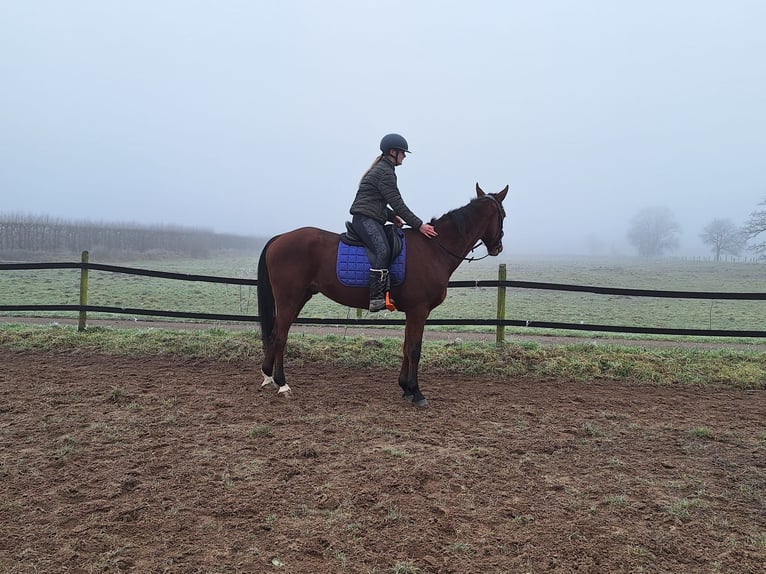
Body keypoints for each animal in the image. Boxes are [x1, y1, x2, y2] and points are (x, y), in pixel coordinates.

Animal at [258, 182, 510, 408]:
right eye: (504, 215)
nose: (498, 247)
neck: (434, 249)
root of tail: (279, 238)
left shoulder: (412, 312)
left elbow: (407, 347)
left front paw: (406, 388)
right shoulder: (419, 310)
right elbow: (415, 349)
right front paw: (417, 392)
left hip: (299, 298)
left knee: (275, 333)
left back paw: (269, 376)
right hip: (289, 299)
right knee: (280, 337)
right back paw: (282, 383)